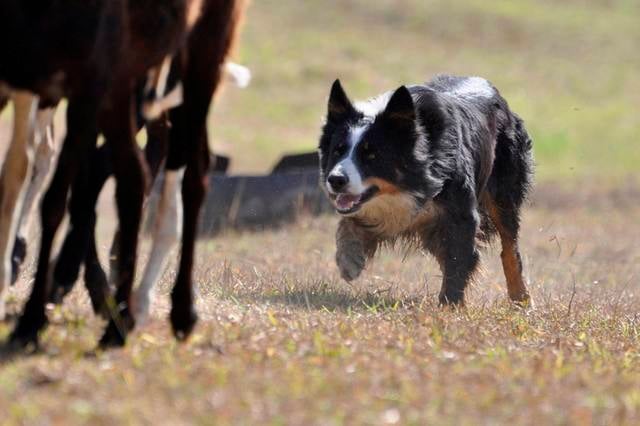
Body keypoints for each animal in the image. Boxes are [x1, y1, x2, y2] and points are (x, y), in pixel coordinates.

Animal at [320, 75, 536, 304]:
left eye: (371, 155)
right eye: (337, 151)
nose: (335, 180)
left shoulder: (459, 209)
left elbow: (458, 258)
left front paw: (450, 305)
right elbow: (348, 223)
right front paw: (349, 260)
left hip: (504, 186)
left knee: (509, 243)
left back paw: (521, 297)